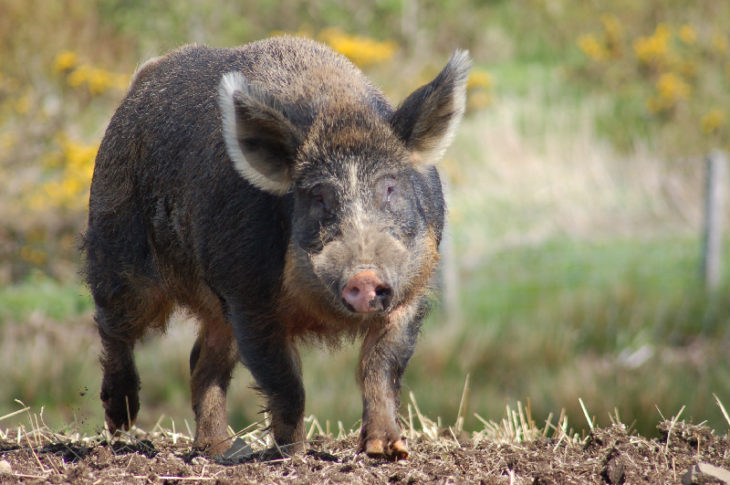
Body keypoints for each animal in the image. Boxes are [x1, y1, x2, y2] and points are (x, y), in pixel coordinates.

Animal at [82, 35, 470, 458]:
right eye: (318, 196)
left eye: (389, 187)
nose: (364, 276)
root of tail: (144, 77)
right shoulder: (249, 298)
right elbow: (286, 383)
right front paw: (292, 454)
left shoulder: (410, 291)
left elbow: (381, 368)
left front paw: (388, 450)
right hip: (119, 249)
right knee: (113, 326)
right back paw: (121, 420)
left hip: (216, 306)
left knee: (202, 361)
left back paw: (222, 451)